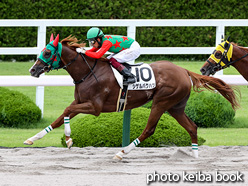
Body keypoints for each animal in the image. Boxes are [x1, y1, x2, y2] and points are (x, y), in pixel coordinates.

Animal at [24, 34, 239, 159]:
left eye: (47, 52)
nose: (32, 70)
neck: (88, 71)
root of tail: (183, 70)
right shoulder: (80, 101)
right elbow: (61, 117)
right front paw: (32, 139)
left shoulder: (95, 107)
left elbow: (67, 112)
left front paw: (69, 139)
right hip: (175, 107)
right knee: (192, 127)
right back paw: (194, 157)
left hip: (161, 102)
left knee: (149, 129)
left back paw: (122, 152)